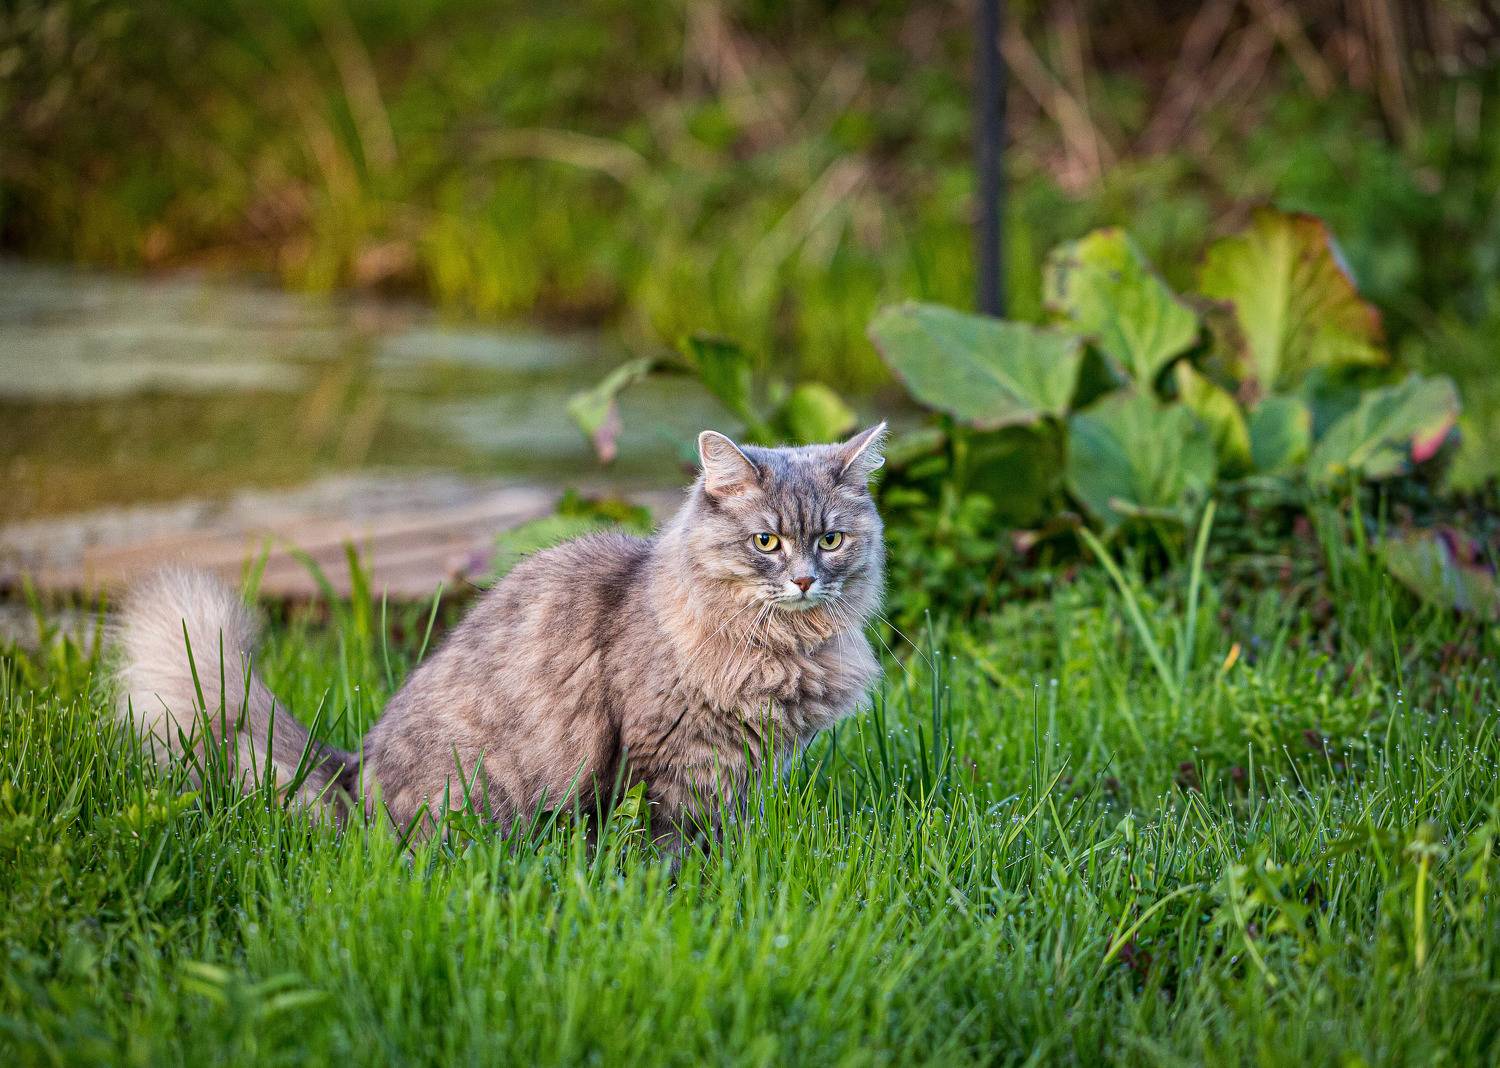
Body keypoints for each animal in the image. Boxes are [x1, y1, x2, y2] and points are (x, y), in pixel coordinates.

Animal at [113, 424, 887, 845]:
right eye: (766, 541)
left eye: (830, 540)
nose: (805, 582)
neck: (783, 648)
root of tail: (353, 774)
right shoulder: (665, 761)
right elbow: (664, 846)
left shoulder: (746, 769)